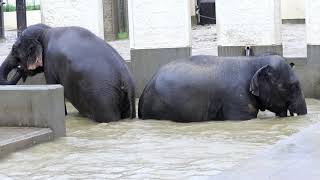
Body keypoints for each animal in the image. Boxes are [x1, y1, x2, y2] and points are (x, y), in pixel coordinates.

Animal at [0, 23, 135, 122]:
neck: (46, 31)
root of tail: (125, 76)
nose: (19, 69)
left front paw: (64, 115)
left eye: (14, 50)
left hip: (103, 97)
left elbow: (53, 84)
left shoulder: (50, 63)